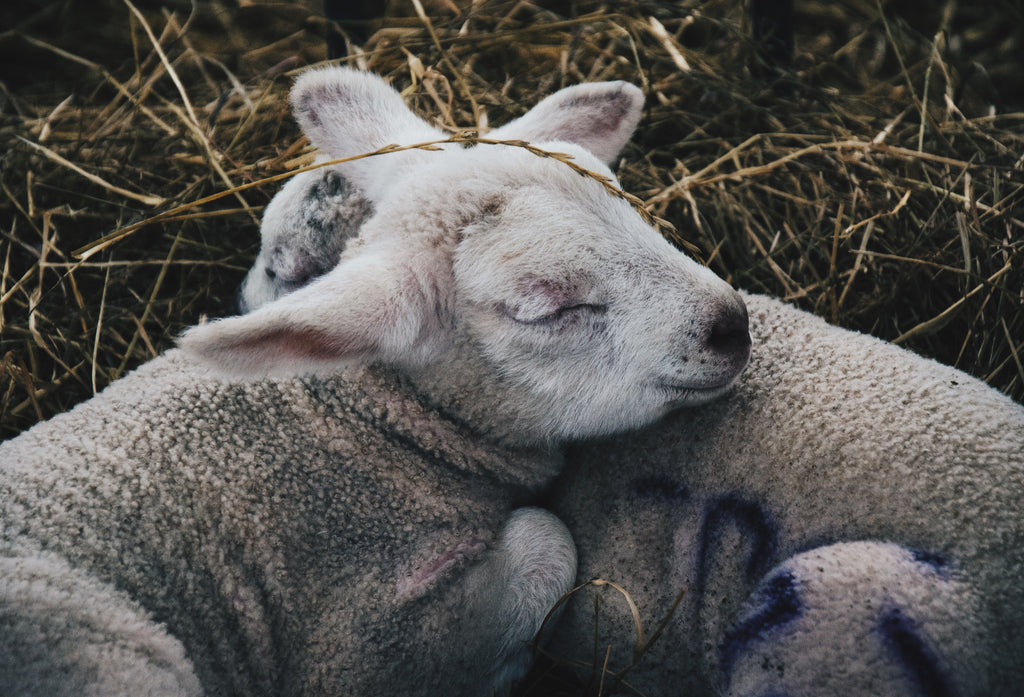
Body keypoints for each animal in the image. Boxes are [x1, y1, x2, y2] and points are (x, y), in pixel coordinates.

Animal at [0, 66, 753, 695]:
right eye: (546, 306)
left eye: (628, 205)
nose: (733, 324)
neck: (362, 420)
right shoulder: (359, 649)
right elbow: (547, 538)